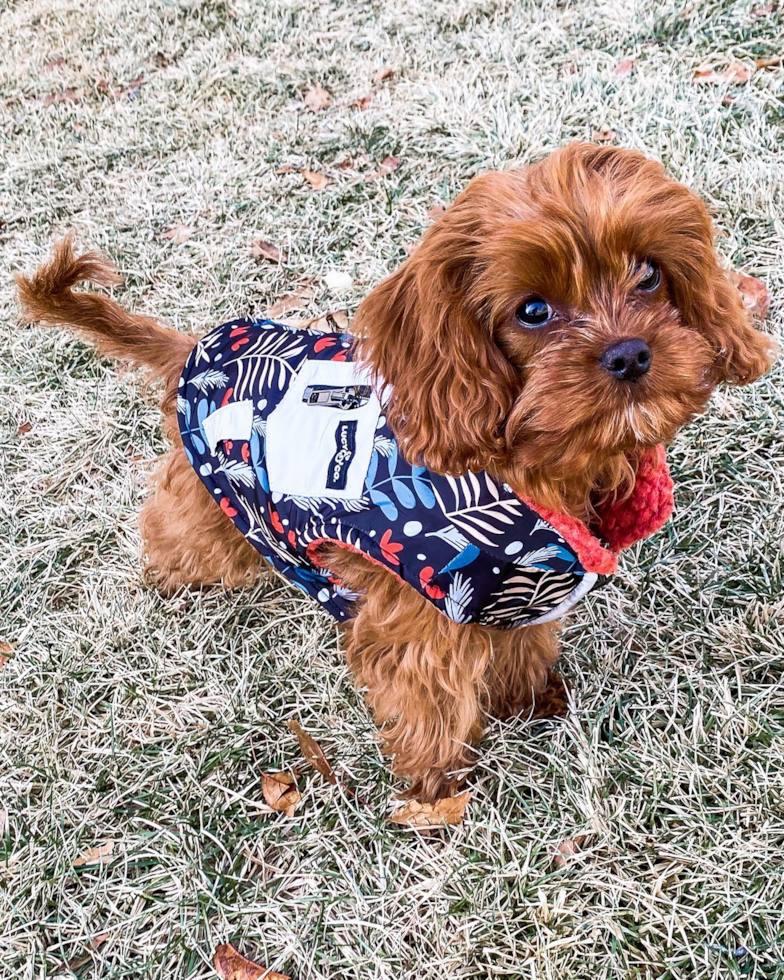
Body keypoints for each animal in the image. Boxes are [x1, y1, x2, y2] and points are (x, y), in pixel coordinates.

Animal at [16, 145, 772, 804]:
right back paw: (167, 575)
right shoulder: (420, 615)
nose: (630, 355)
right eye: (532, 310)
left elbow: (522, 647)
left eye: (649, 274)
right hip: (217, 501)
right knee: (177, 529)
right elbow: (427, 700)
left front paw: (531, 703)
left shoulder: (521, 590)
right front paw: (438, 789)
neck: (535, 470)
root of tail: (196, 346)